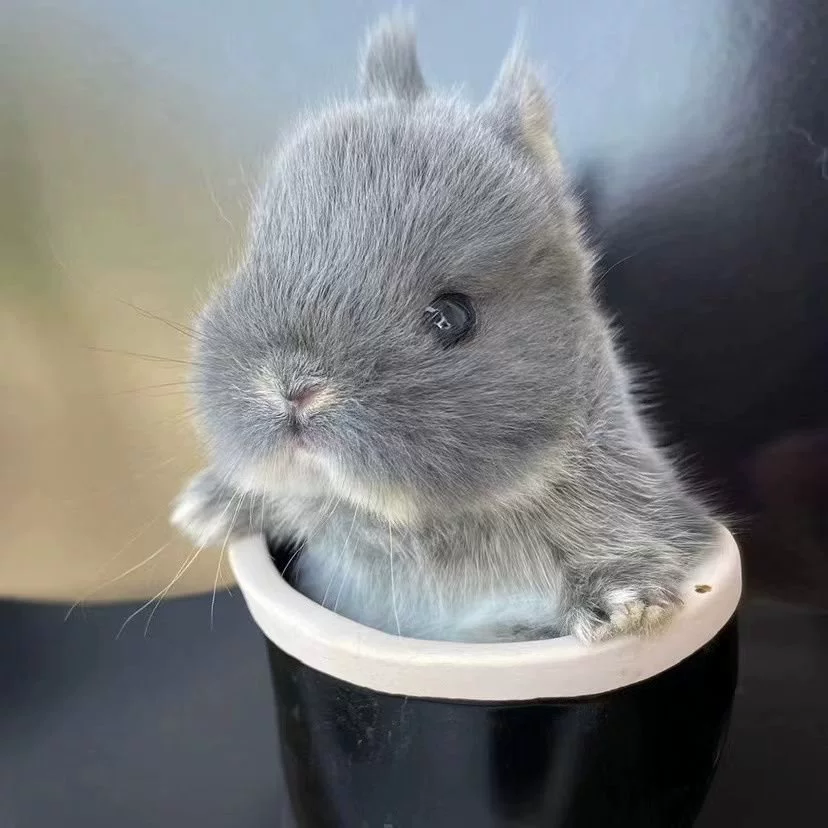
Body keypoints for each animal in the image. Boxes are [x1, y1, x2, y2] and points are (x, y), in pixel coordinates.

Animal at [171, 12, 717, 643]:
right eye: (258, 260)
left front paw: (628, 607)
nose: (293, 389)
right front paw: (200, 510)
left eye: (452, 317)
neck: (411, 523)